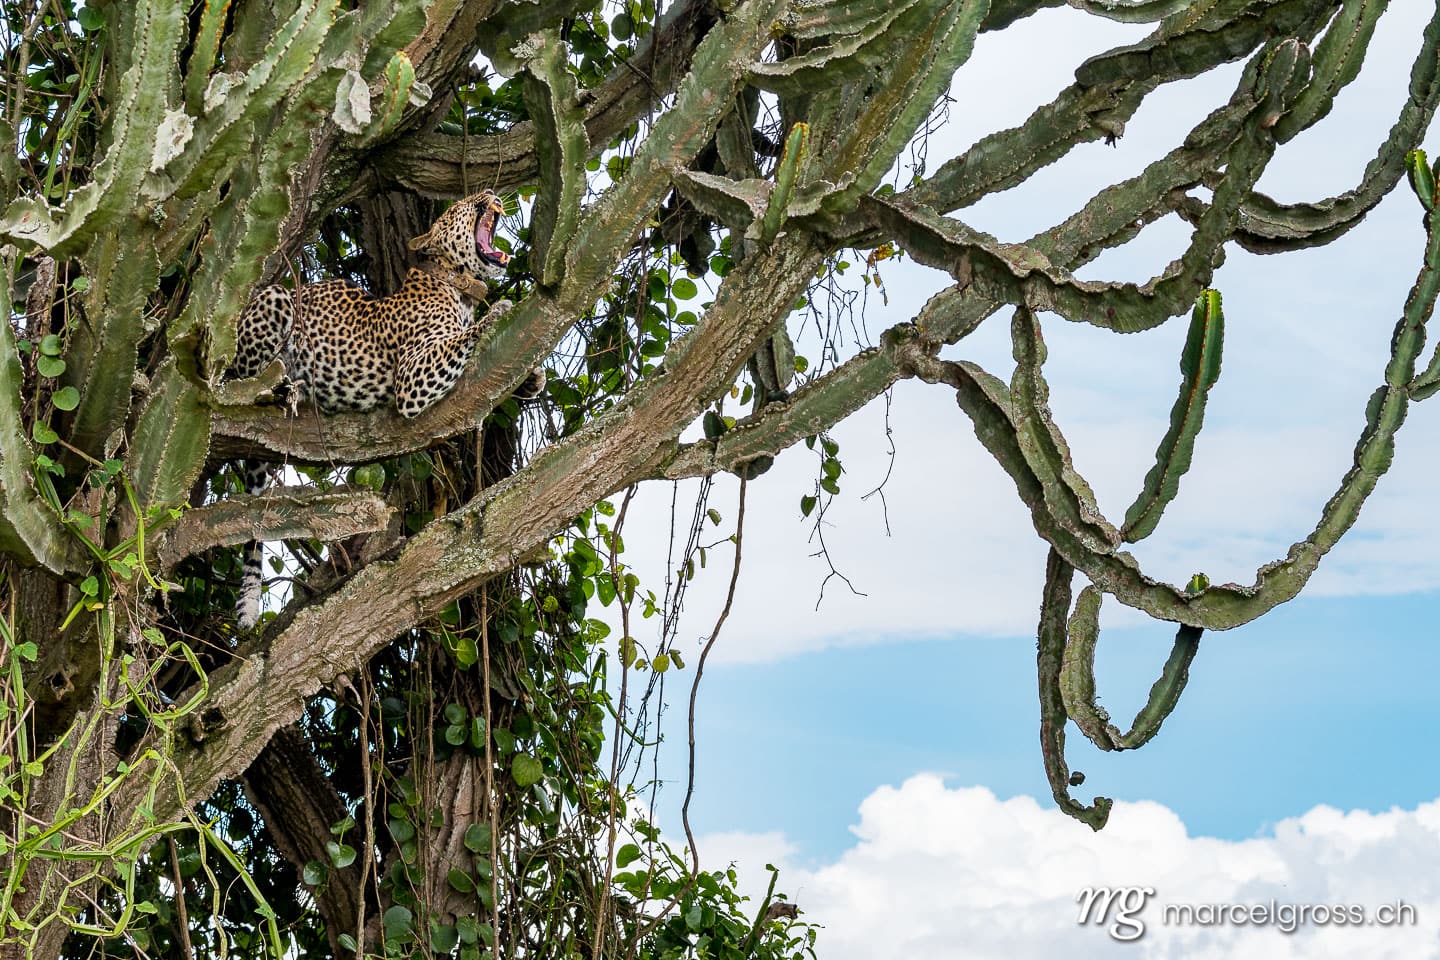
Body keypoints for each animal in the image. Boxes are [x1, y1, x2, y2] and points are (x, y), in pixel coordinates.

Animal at [227, 189, 539, 629]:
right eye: (459, 206)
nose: (491, 194)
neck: (457, 287)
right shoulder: (413, 374)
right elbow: (465, 336)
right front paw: (499, 311)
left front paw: (532, 378)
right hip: (275, 301)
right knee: (244, 376)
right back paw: (286, 385)